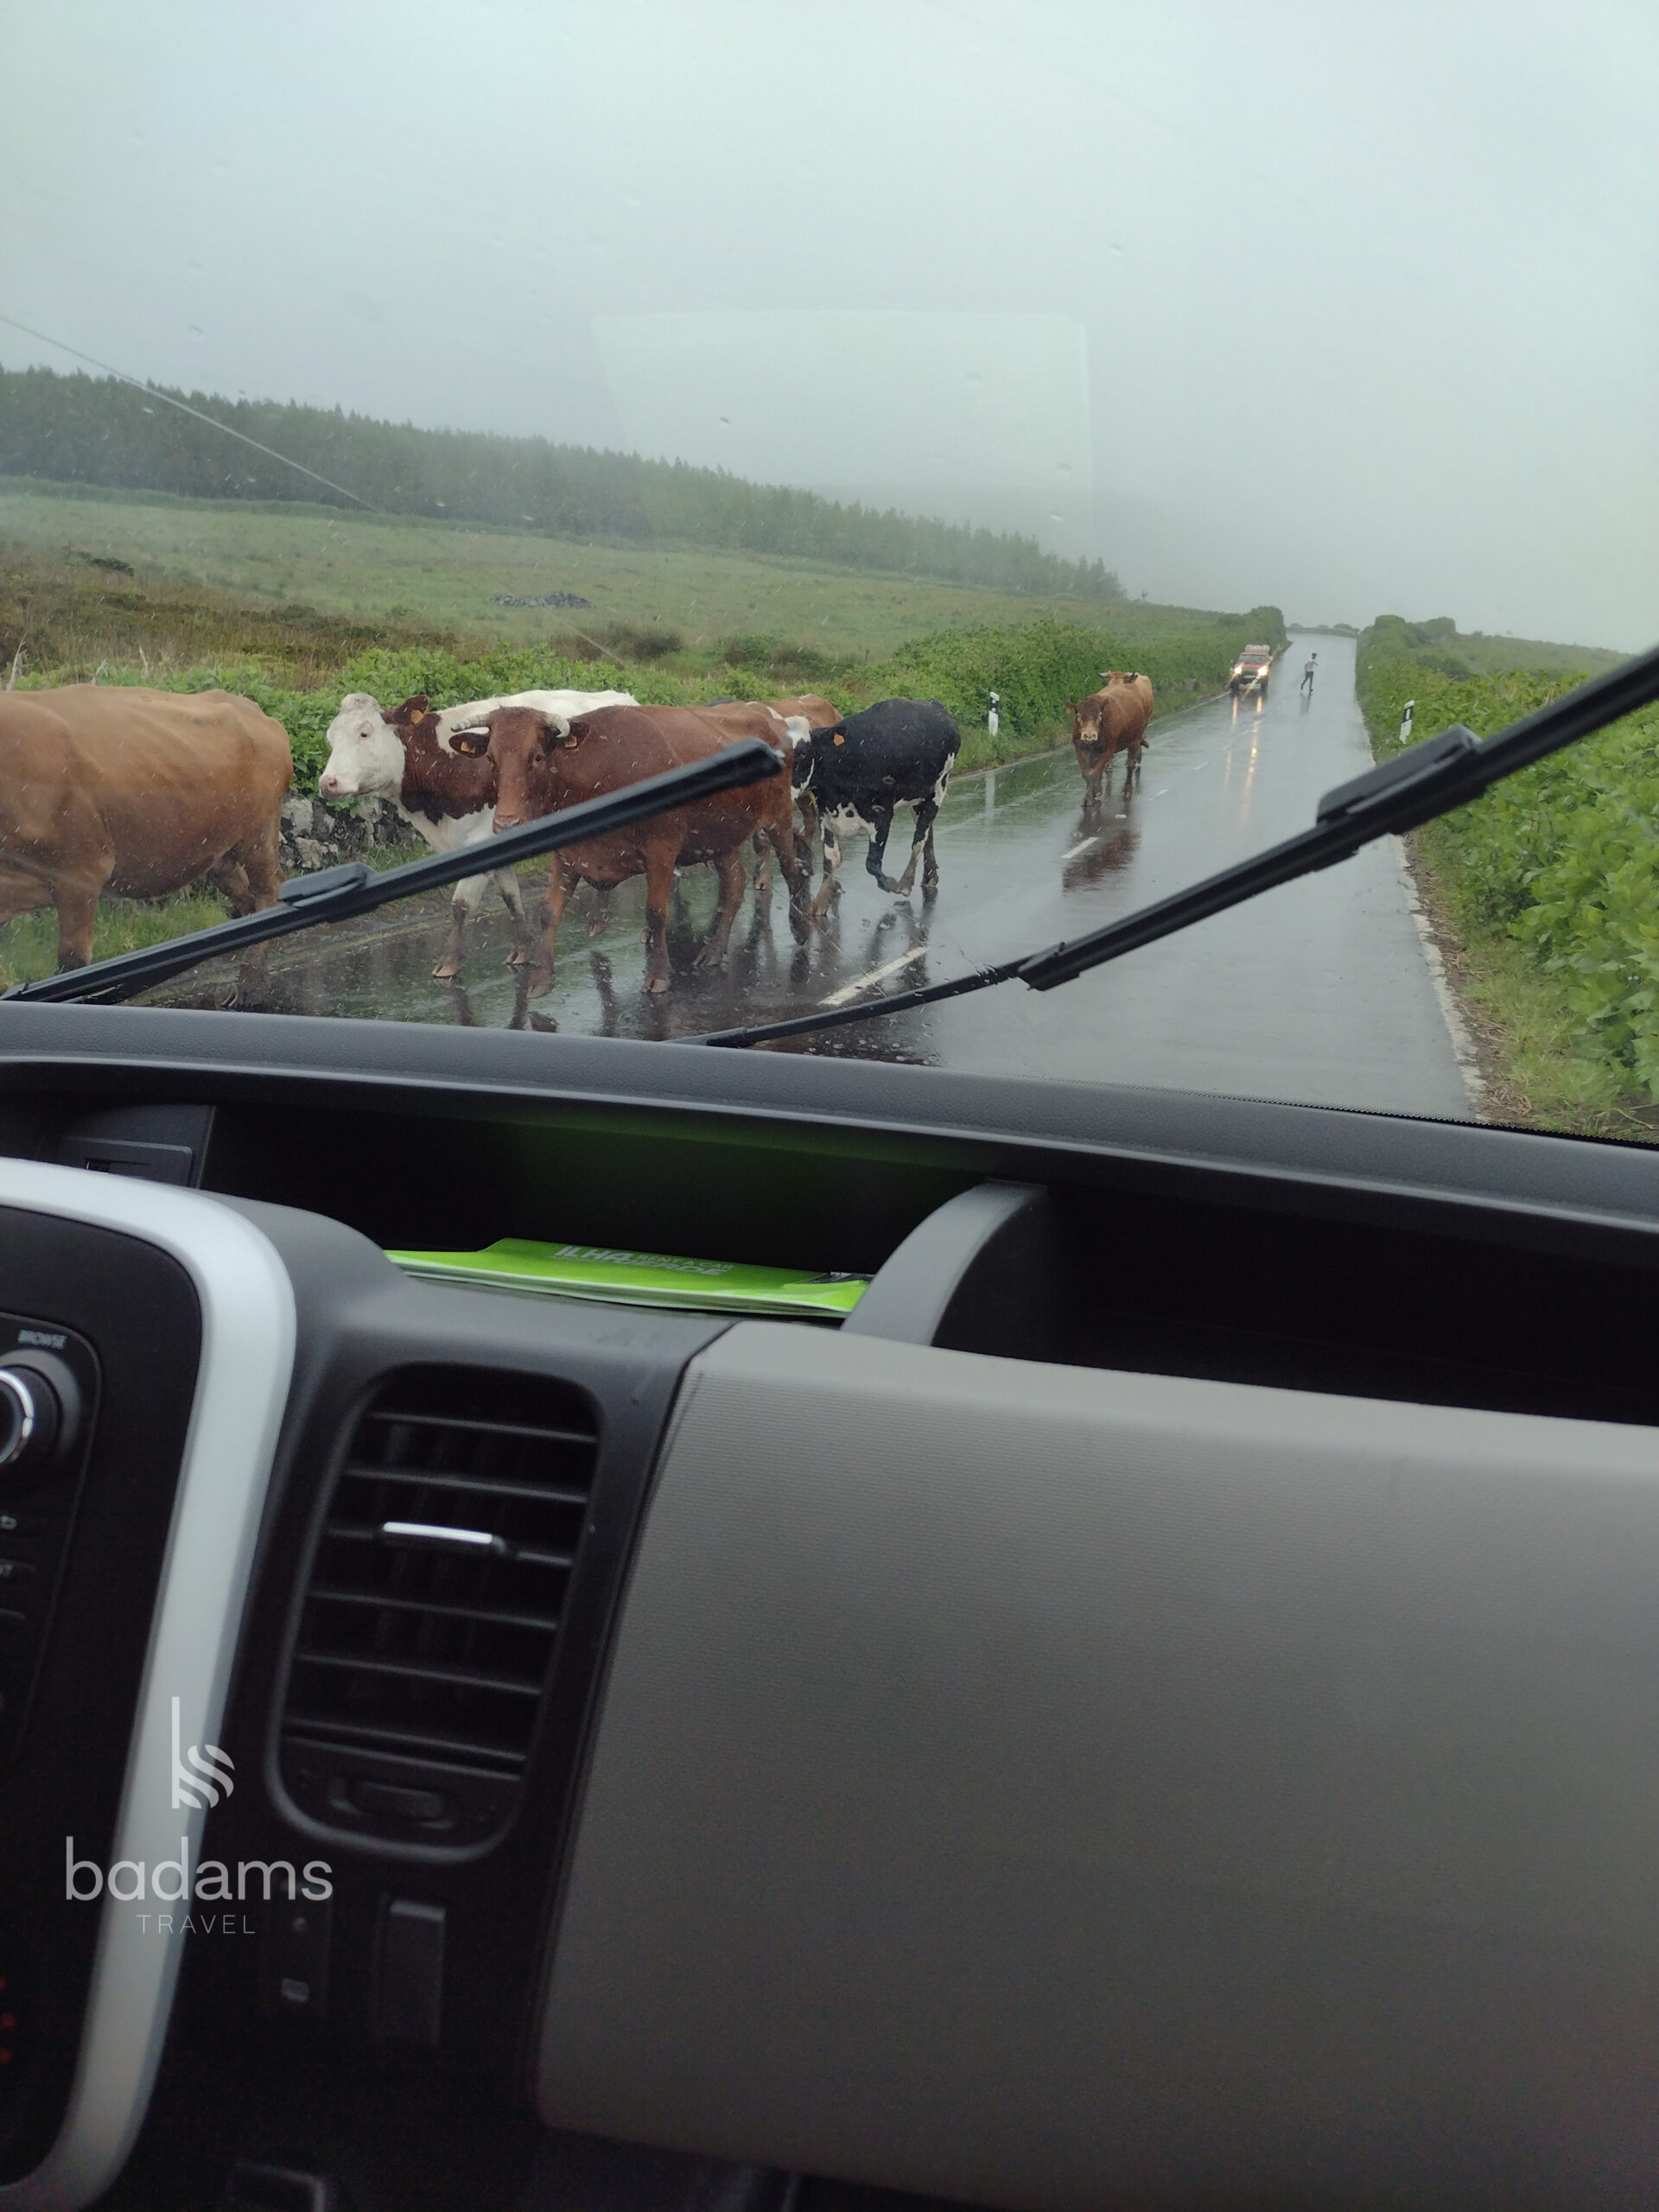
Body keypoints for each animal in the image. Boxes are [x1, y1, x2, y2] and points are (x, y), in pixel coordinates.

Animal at [0, 684, 291, 970]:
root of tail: (260, 714)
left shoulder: (81, 871)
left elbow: (73, 960)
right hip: (221, 848)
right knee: (244, 893)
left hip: (259, 831)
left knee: (269, 890)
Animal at [317, 685, 633, 978]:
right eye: (330, 738)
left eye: (364, 733)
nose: (327, 783)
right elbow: (510, 895)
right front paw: (521, 949)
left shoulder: (481, 839)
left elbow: (461, 904)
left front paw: (448, 963)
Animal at [452, 702, 809, 996]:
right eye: (491, 759)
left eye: (538, 757)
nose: (506, 824)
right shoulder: (566, 856)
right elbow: (549, 912)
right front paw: (540, 978)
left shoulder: (662, 851)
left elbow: (656, 913)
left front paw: (659, 975)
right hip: (720, 836)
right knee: (734, 884)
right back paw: (714, 951)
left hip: (779, 816)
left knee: (791, 870)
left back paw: (801, 929)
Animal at [789, 698, 960, 921]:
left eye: (801, 754)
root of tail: (933, 704)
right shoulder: (826, 815)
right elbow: (830, 860)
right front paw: (820, 902)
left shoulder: (881, 813)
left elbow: (872, 863)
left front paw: (891, 884)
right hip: (917, 798)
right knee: (927, 833)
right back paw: (930, 876)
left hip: (938, 789)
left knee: (920, 838)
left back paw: (907, 882)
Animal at [1066, 671, 1153, 807]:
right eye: (1078, 716)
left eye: (1100, 716)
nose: (1089, 735)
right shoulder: (1080, 749)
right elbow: (1087, 773)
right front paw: (1093, 793)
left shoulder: (1108, 750)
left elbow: (1094, 772)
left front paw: (1089, 798)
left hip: (1135, 739)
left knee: (1130, 764)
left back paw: (1127, 790)